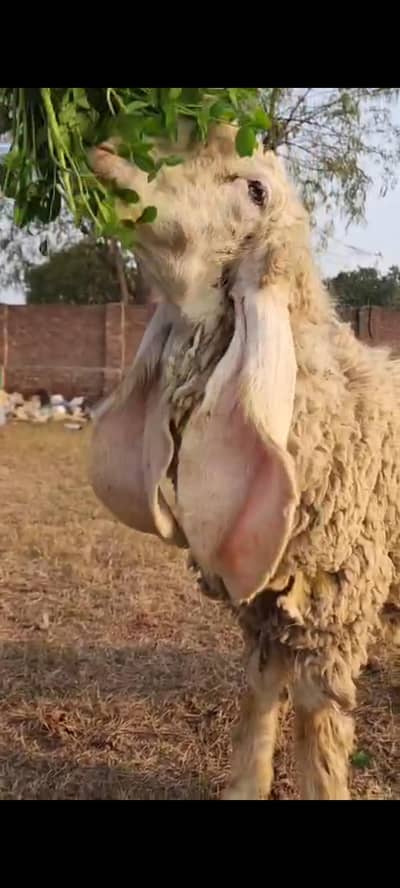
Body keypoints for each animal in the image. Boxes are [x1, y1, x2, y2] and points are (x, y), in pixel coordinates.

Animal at [88, 122, 400, 801]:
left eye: (255, 188)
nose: (106, 152)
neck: (321, 405)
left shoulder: (334, 604)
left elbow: (317, 723)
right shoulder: (264, 606)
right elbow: (259, 692)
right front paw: (244, 787)